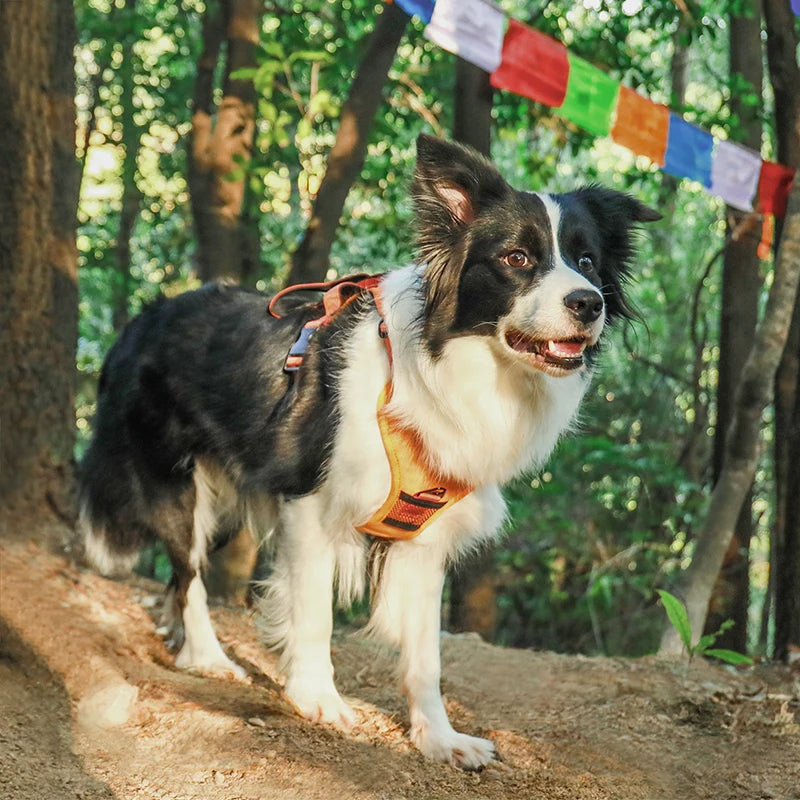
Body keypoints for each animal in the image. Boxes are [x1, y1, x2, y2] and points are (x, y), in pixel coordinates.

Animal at [79, 134, 656, 764]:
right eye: (518, 259)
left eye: (587, 262)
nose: (589, 303)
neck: (440, 367)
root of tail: (146, 315)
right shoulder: (308, 503)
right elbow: (314, 615)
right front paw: (317, 699)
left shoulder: (426, 536)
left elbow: (426, 656)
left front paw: (439, 737)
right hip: (176, 484)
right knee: (187, 571)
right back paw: (207, 656)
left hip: (228, 493)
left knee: (185, 573)